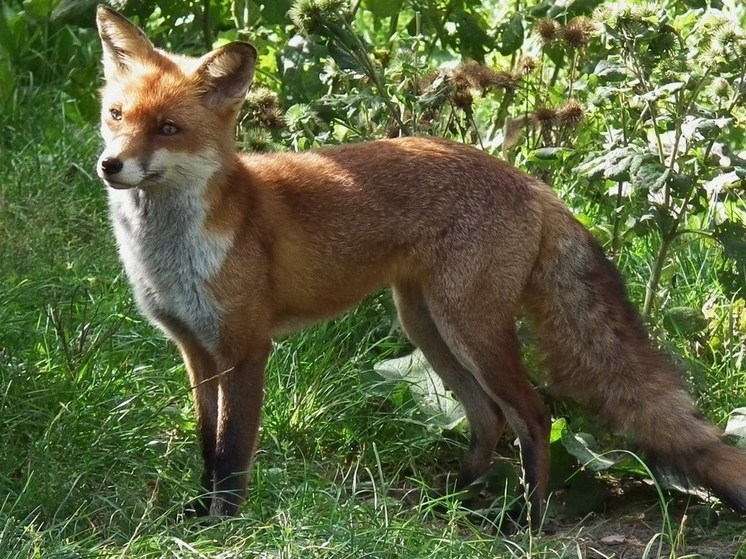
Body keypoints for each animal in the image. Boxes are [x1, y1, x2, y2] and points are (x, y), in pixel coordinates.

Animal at [94, 3, 744, 524]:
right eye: (117, 116)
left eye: (169, 128)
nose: (110, 165)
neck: (170, 253)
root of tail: (531, 182)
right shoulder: (196, 351)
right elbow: (207, 445)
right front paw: (196, 512)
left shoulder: (246, 348)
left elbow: (232, 453)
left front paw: (222, 526)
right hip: (427, 326)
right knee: (489, 419)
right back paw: (455, 502)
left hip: (469, 327)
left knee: (533, 416)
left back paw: (527, 522)